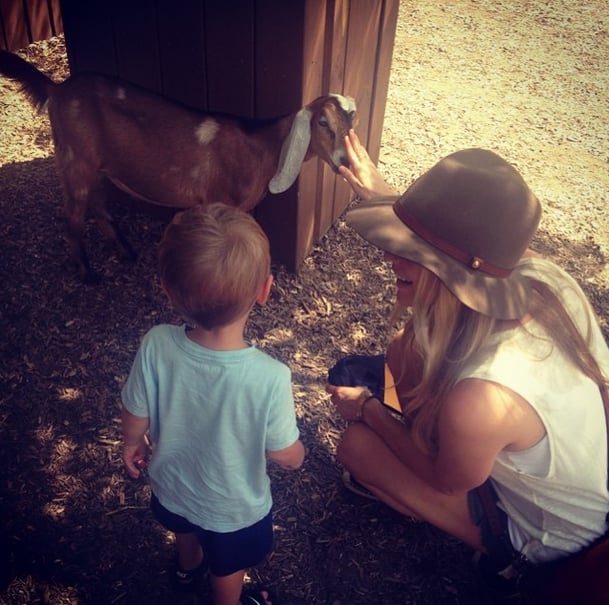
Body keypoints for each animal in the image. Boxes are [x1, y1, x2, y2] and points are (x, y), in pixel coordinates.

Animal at [0, 49, 356, 280]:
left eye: (350, 121)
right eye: (322, 122)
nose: (345, 161)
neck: (261, 146)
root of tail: (56, 89)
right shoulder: (221, 199)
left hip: (97, 165)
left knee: (99, 207)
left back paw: (127, 253)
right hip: (76, 160)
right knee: (72, 216)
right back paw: (87, 274)